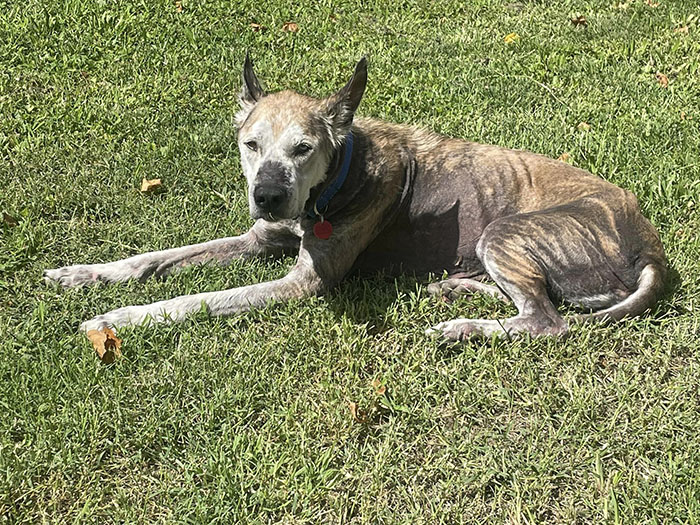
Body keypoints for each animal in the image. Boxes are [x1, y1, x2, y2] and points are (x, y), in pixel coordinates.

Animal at [43, 56, 668, 340]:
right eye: (250, 144)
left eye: (303, 148)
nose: (267, 195)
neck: (333, 183)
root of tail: (652, 250)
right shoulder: (258, 237)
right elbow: (155, 259)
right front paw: (85, 274)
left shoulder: (303, 283)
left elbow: (198, 300)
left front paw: (121, 318)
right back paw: (456, 289)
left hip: (507, 232)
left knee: (546, 321)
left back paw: (461, 328)